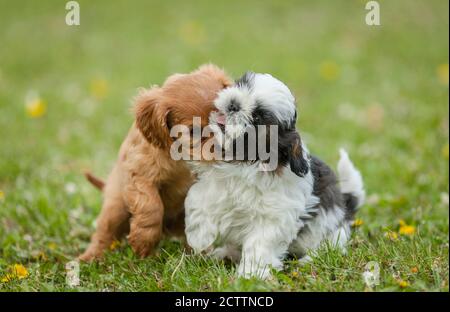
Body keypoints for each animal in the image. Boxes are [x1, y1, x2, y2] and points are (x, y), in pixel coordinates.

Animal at [78, 64, 232, 260]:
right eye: (194, 131)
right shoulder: (140, 176)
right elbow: (151, 206)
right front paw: (143, 242)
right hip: (115, 208)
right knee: (104, 234)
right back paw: (90, 257)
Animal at [185, 71, 364, 278]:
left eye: (257, 117)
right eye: (242, 84)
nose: (234, 104)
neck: (244, 162)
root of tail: (347, 205)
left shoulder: (273, 218)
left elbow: (259, 245)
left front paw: (251, 275)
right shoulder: (214, 185)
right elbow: (200, 203)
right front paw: (198, 235)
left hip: (332, 230)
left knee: (330, 245)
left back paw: (309, 259)